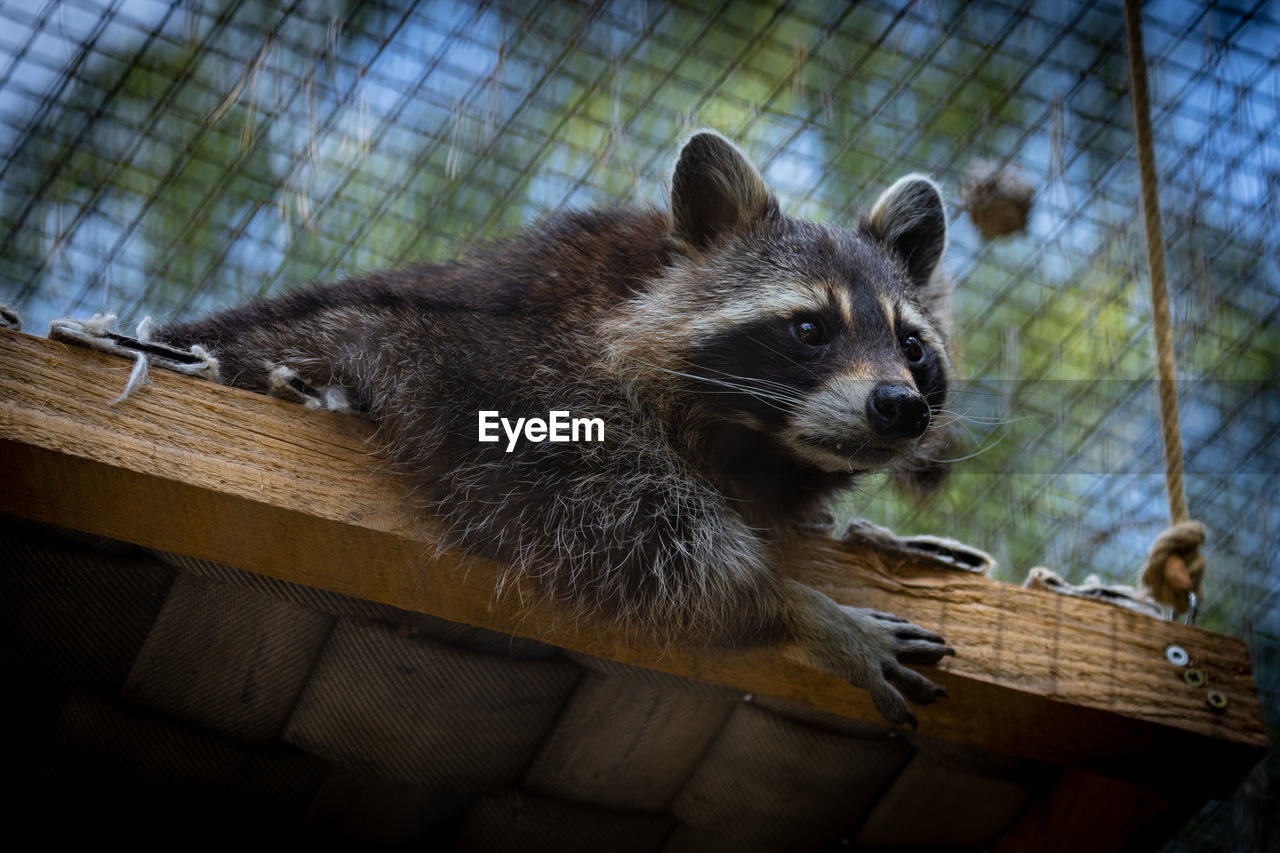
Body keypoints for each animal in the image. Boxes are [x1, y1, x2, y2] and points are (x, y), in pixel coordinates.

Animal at [142, 133, 962, 722]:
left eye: (912, 345)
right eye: (809, 328)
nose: (899, 404)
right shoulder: (483, 362)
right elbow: (601, 505)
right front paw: (786, 601)